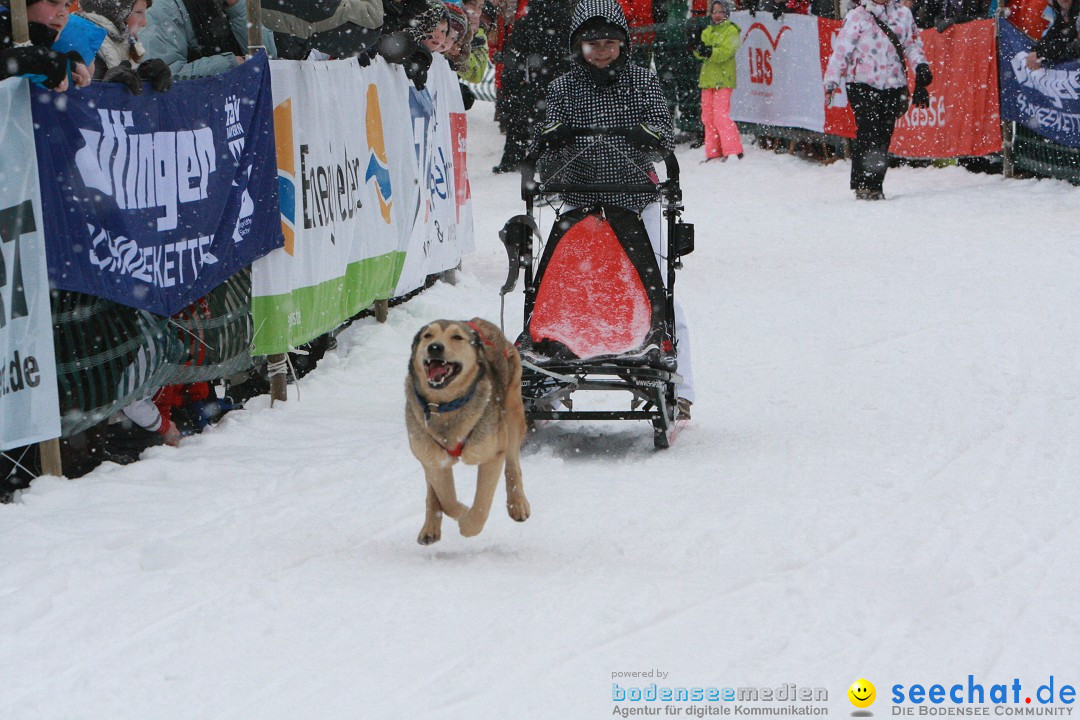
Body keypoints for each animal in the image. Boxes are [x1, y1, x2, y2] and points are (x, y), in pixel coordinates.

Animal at [406, 317, 531, 544]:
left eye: (457, 337)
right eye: (428, 335)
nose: (435, 347)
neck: (444, 406)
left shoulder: (491, 455)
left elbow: (481, 505)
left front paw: (468, 525)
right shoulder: (434, 460)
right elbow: (446, 500)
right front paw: (460, 512)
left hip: (512, 414)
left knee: (512, 464)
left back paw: (517, 503)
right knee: (432, 490)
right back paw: (430, 525)